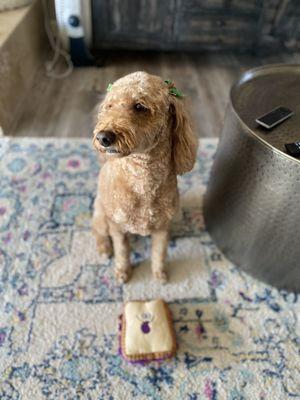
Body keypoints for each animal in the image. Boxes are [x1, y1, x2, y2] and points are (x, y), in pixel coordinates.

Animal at [92, 72, 198, 284]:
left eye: (140, 106)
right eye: (110, 106)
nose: (103, 137)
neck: (142, 179)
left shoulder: (162, 228)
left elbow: (159, 252)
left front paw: (159, 274)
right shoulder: (117, 227)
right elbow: (122, 251)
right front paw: (123, 272)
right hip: (101, 215)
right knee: (97, 230)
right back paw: (104, 248)